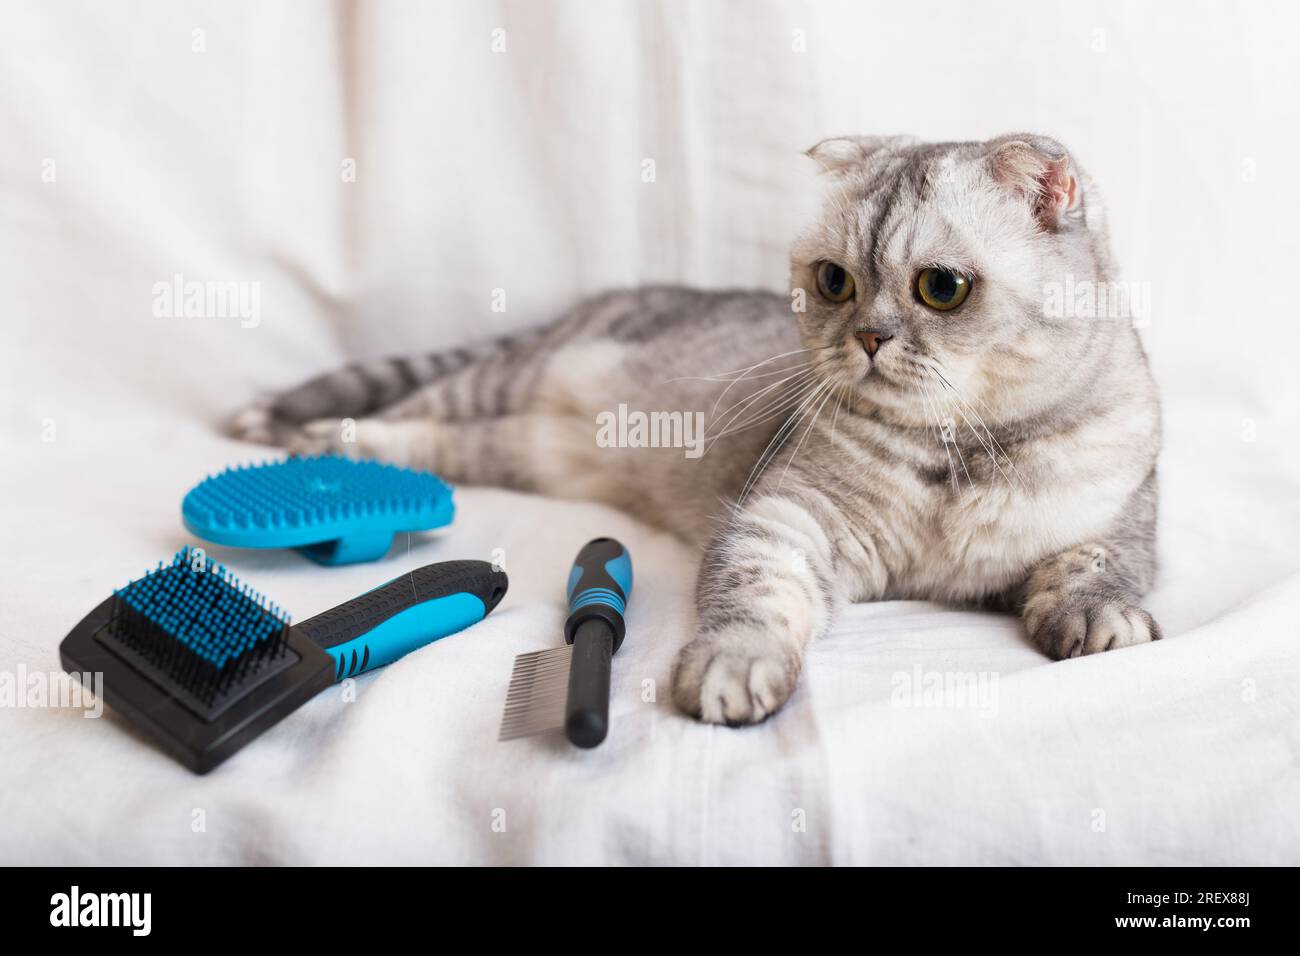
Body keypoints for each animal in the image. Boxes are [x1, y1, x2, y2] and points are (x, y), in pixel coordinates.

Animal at [231, 134, 1159, 723]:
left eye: (941, 288)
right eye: (833, 280)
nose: (865, 337)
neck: (956, 455)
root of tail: (597, 302)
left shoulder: (1116, 519)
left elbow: (1100, 567)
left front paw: (1098, 619)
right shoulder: (788, 517)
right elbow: (754, 598)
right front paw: (735, 668)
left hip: (517, 446)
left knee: (433, 447)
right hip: (496, 383)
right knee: (394, 418)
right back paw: (305, 445)